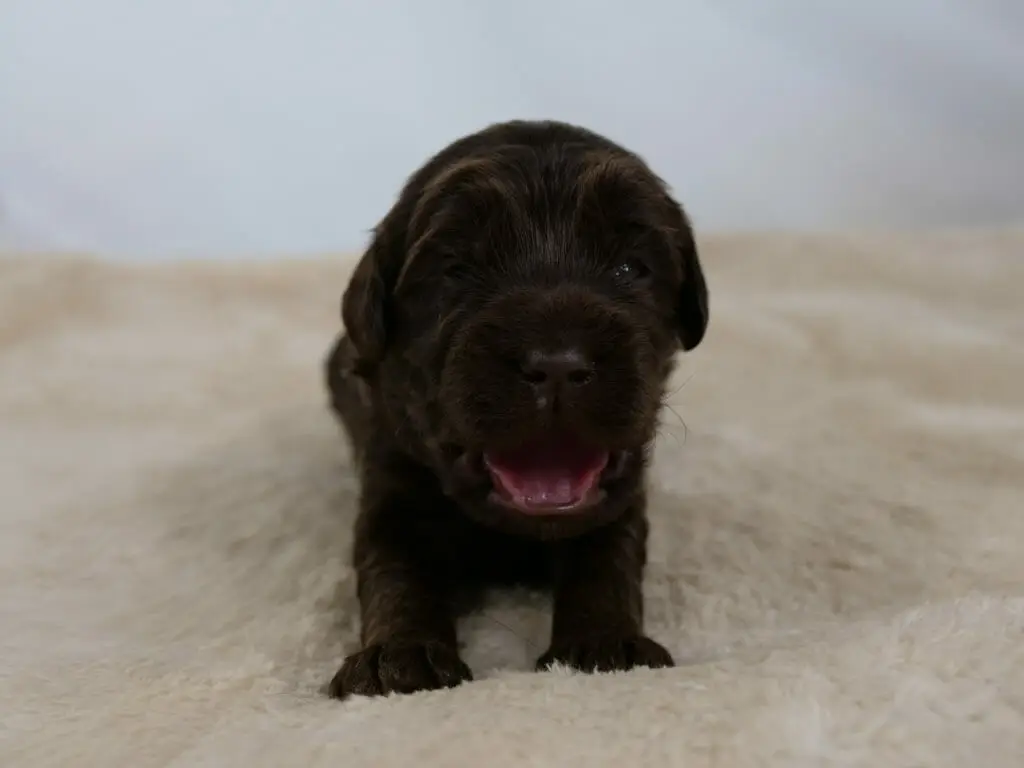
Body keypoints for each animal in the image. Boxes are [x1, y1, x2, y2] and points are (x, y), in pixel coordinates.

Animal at [323, 117, 708, 700]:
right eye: (456, 270)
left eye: (629, 267)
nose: (557, 365)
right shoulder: (393, 483)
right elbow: (396, 569)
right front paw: (399, 656)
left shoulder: (618, 498)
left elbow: (607, 558)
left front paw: (605, 644)